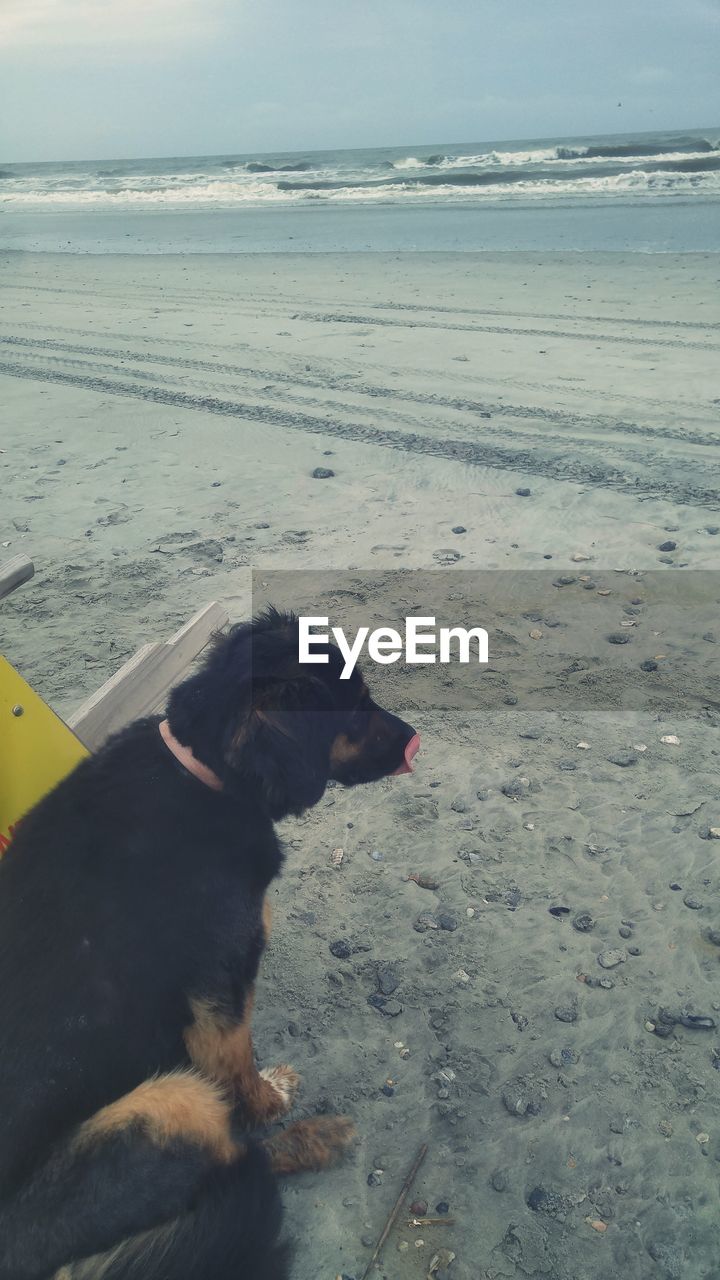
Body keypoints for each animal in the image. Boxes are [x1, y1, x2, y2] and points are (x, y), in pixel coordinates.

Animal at [0, 609, 417, 1280]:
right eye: (355, 709)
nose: (414, 739)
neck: (202, 772)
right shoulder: (222, 993)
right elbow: (239, 1070)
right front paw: (269, 1100)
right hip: (171, 1103)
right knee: (239, 1164)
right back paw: (316, 1138)